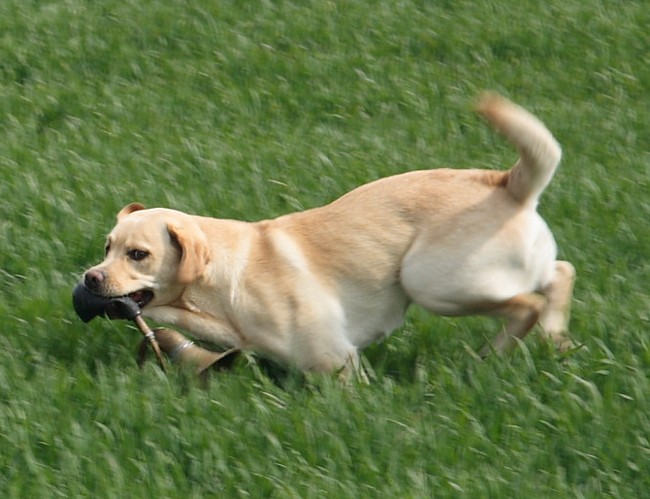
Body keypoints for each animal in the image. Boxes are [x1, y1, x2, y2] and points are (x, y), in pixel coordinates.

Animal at [81, 94, 572, 376]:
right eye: (107, 248)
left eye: (138, 254)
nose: (89, 277)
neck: (218, 290)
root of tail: (506, 182)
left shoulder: (338, 361)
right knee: (560, 274)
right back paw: (556, 341)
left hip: (432, 283)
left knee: (528, 303)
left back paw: (488, 358)